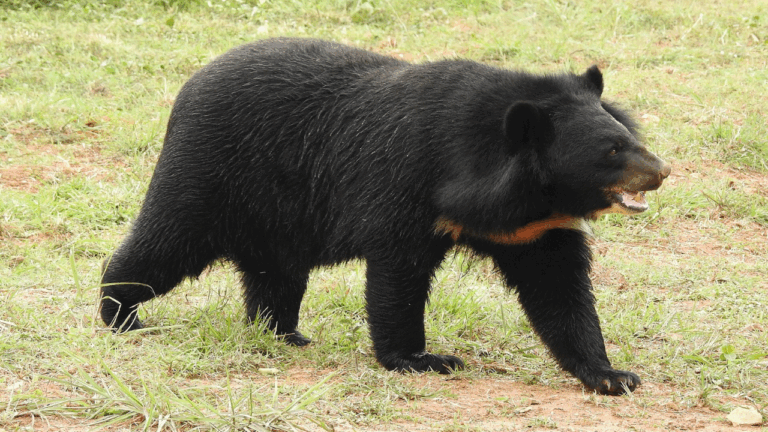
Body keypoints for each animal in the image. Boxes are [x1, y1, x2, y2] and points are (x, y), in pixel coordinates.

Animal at [100, 37, 671, 395]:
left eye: (628, 138)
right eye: (612, 151)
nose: (662, 171)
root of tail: (193, 80)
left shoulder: (533, 230)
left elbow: (558, 289)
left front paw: (612, 375)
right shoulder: (407, 187)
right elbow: (397, 277)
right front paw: (422, 360)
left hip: (276, 214)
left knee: (275, 272)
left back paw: (284, 334)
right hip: (208, 173)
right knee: (165, 244)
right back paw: (120, 314)